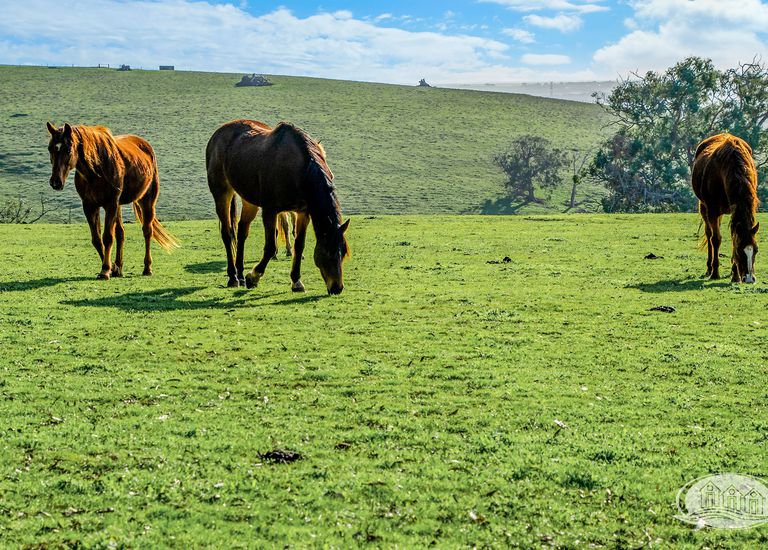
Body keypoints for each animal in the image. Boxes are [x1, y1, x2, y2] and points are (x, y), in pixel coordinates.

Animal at [47, 123, 179, 282]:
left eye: (68, 149)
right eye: (50, 148)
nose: (56, 182)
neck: (96, 170)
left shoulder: (110, 204)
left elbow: (107, 237)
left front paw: (105, 270)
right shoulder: (90, 206)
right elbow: (97, 239)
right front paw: (113, 268)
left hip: (146, 200)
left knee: (147, 231)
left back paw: (147, 268)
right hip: (119, 205)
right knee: (120, 233)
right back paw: (119, 267)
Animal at [204, 119, 348, 296]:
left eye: (343, 252)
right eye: (327, 252)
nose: (337, 288)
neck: (300, 169)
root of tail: (218, 134)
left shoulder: (303, 212)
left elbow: (299, 246)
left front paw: (296, 281)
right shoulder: (270, 211)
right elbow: (271, 247)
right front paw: (254, 277)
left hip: (249, 201)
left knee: (242, 231)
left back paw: (240, 274)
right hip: (222, 193)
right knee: (227, 233)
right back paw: (233, 278)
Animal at [692, 132, 760, 282]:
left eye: (756, 249)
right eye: (740, 250)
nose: (749, 278)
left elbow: (734, 237)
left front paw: (735, 275)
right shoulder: (712, 210)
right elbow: (715, 239)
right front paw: (715, 273)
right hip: (705, 207)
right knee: (709, 234)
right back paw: (709, 268)